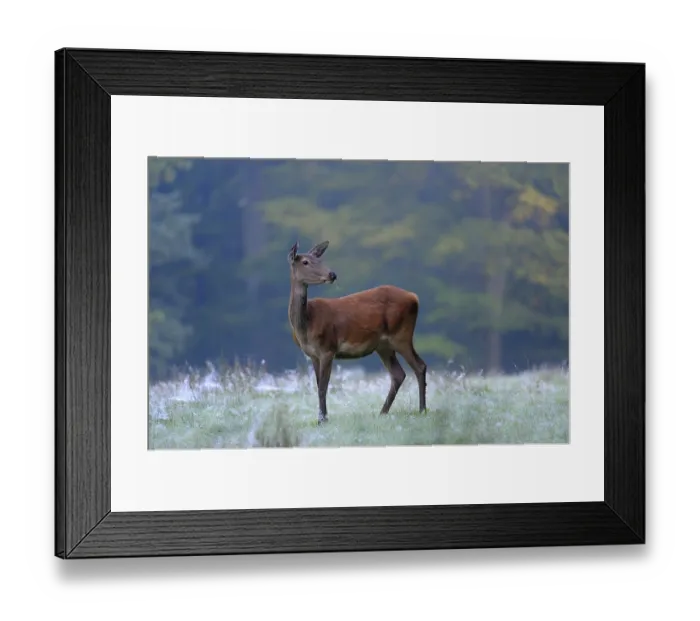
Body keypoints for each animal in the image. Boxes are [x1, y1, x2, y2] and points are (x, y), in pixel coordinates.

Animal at [287, 240, 427, 425]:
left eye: (320, 260)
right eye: (305, 262)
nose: (332, 274)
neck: (306, 325)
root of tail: (415, 297)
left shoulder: (328, 348)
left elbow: (323, 387)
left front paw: (323, 420)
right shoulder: (313, 355)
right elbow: (318, 386)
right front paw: (322, 418)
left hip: (401, 334)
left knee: (419, 366)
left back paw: (422, 410)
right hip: (383, 345)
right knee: (399, 374)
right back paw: (382, 413)